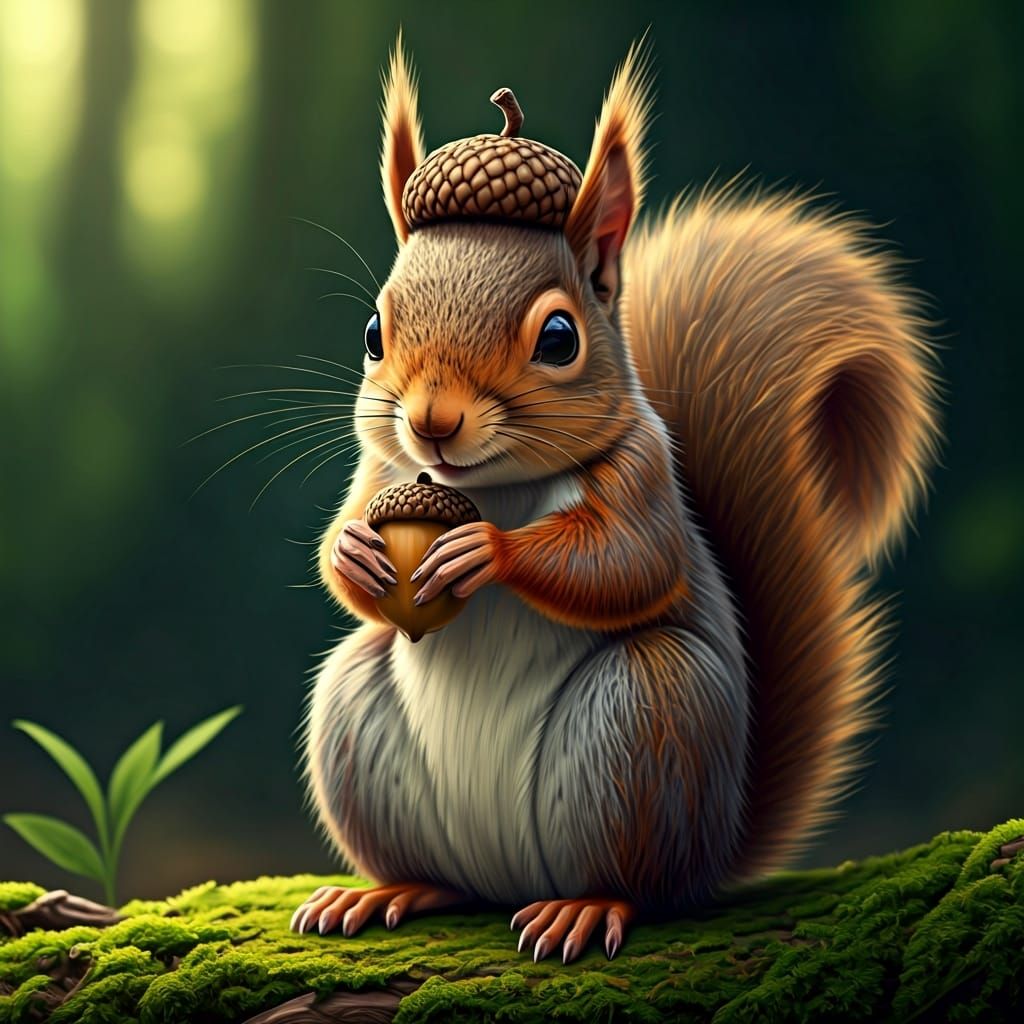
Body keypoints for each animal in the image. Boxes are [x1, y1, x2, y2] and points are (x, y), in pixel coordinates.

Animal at [291, 38, 940, 964]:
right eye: (375, 334)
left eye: (560, 338)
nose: (432, 422)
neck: (489, 485)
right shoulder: (384, 470)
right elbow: (343, 546)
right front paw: (355, 550)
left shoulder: (642, 469)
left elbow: (628, 562)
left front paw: (486, 551)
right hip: (359, 723)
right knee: (435, 869)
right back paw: (385, 890)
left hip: (645, 728)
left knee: (638, 880)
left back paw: (586, 908)